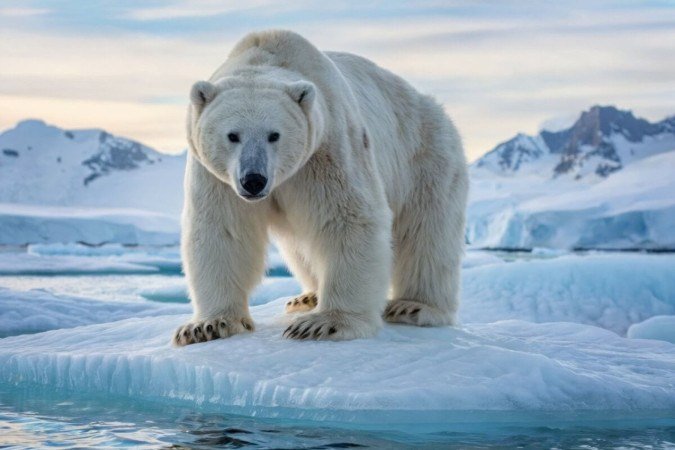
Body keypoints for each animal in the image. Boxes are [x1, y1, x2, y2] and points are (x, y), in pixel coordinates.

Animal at [174, 30, 468, 346]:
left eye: (274, 135)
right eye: (232, 135)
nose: (253, 180)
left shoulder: (327, 149)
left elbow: (347, 220)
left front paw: (324, 323)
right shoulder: (217, 178)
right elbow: (222, 229)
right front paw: (207, 326)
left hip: (425, 157)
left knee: (426, 235)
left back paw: (413, 306)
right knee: (300, 248)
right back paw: (307, 297)